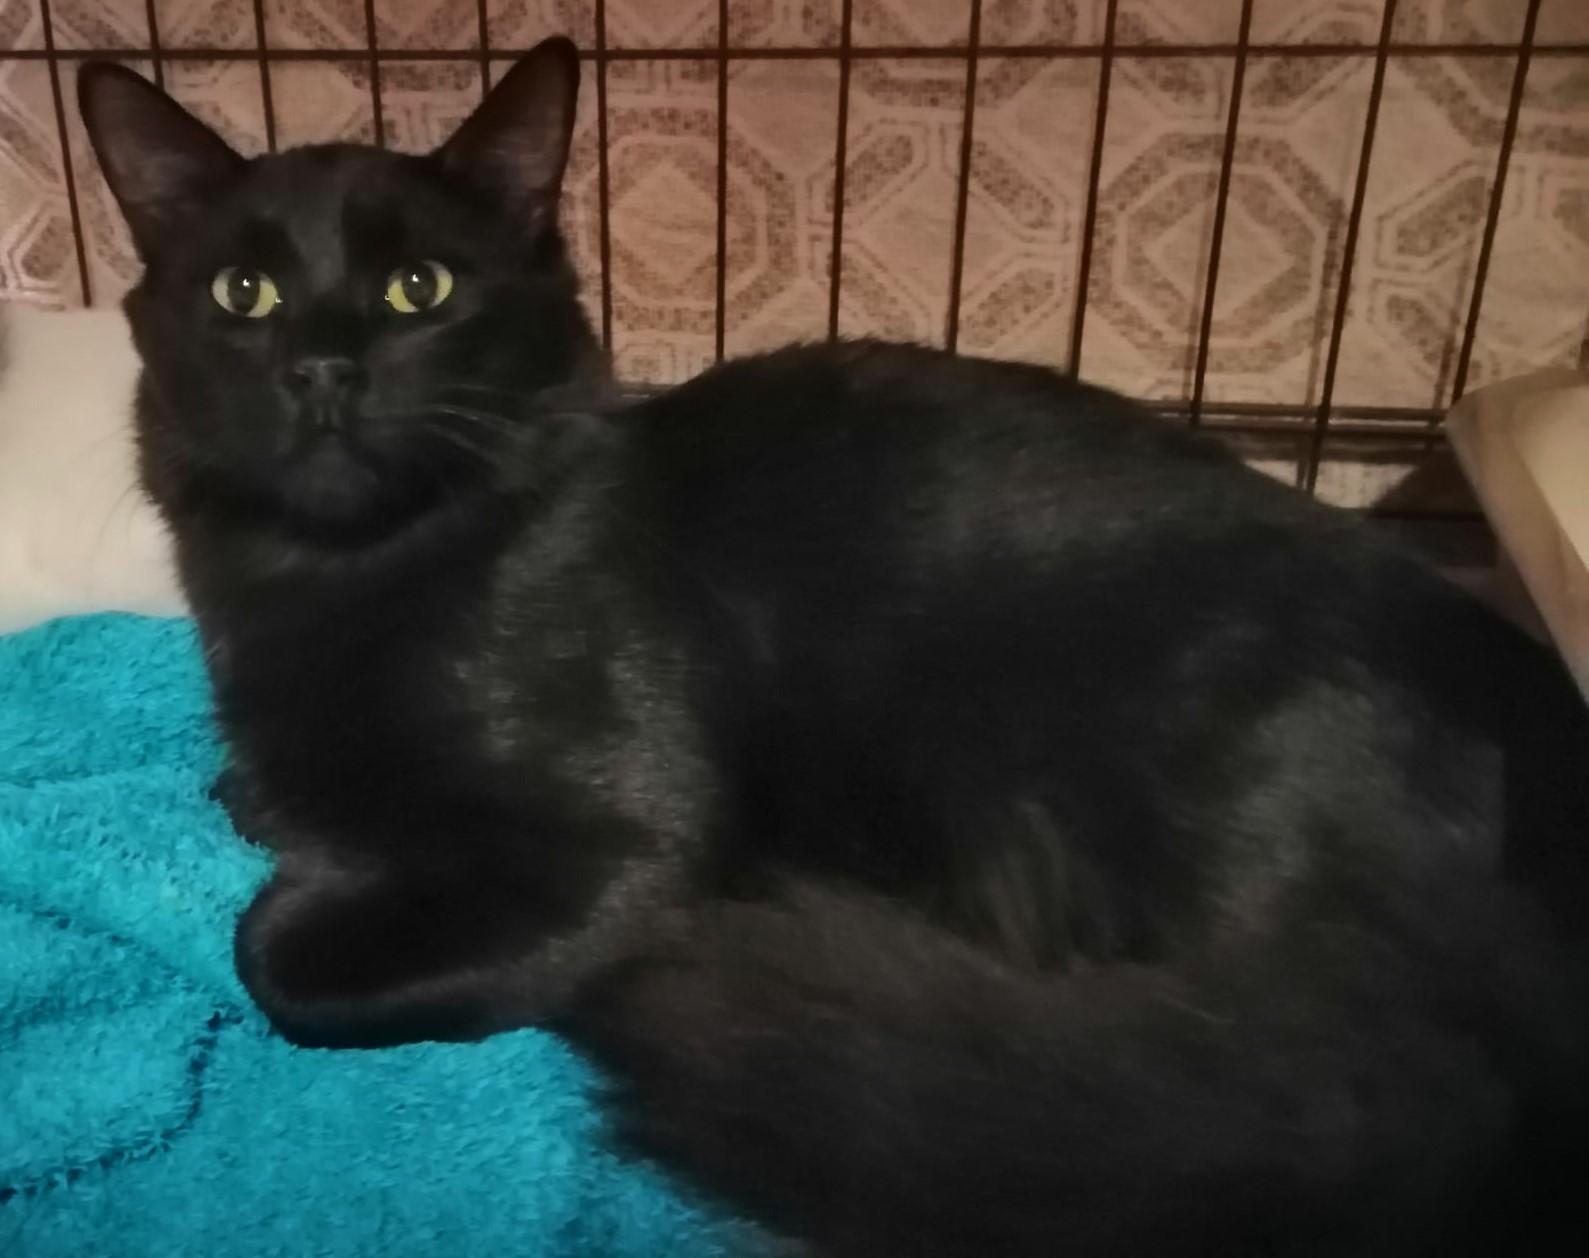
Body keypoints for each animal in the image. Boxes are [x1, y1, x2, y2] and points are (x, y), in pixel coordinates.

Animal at [79, 38, 1589, 1257]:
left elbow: (268, 950)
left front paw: (309, 884)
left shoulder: (636, 839)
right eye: (243, 293)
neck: (340, 574)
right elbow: (250, 805)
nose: (322, 368)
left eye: (417, 286)